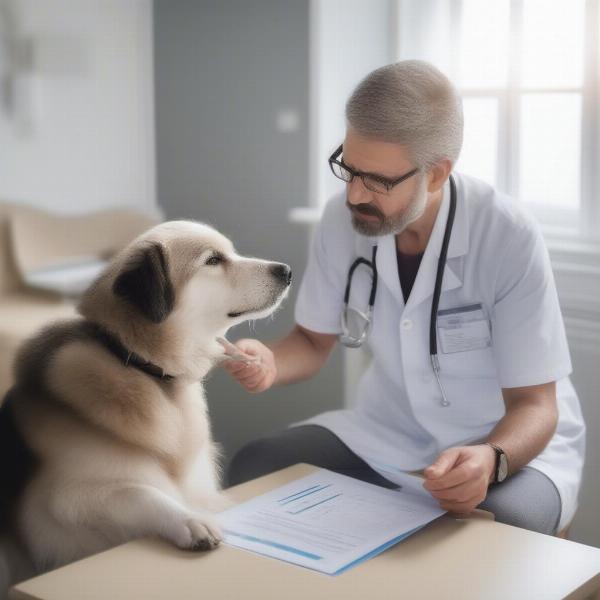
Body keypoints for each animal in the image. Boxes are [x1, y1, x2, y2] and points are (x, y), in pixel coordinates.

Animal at [0, 220, 290, 580]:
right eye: (212, 260)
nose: (287, 271)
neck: (138, 365)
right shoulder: (60, 500)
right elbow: (139, 491)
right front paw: (188, 521)